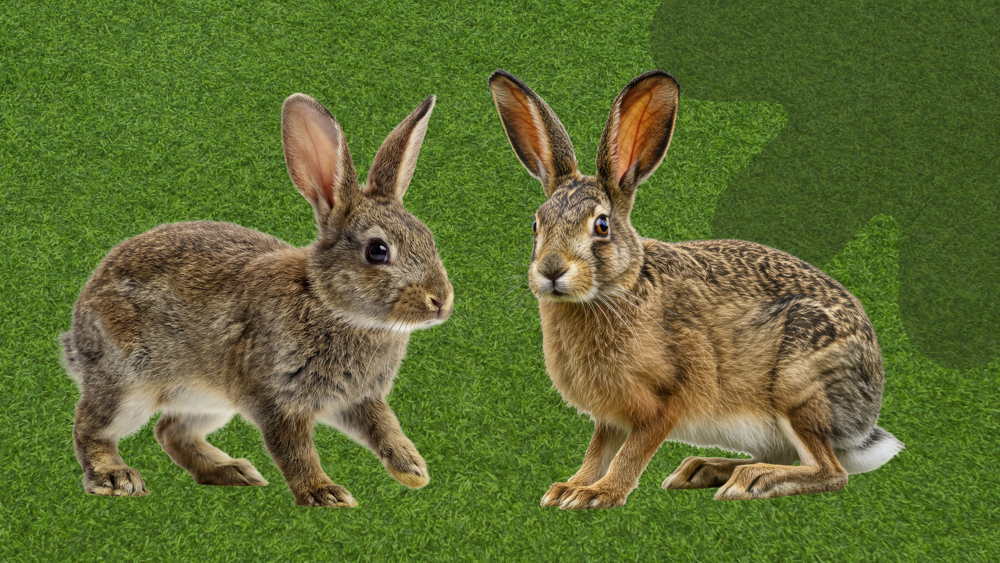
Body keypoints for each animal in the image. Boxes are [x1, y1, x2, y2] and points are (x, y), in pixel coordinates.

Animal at [60, 92, 453, 507]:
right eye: (377, 251)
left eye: (428, 236)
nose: (441, 301)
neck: (330, 304)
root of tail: (78, 329)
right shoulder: (276, 399)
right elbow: (294, 450)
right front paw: (324, 493)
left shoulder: (360, 399)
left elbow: (385, 427)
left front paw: (412, 469)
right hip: (128, 383)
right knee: (91, 427)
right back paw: (116, 477)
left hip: (209, 401)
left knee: (169, 430)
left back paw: (232, 471)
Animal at [488, 69, 903, 509]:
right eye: (537, 224)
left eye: (601, 226)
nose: (551, 270)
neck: (613, 292)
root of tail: (865, 418)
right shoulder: (610, 416)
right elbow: (597, 450)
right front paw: (569, 488)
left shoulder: (666, 401)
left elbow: (631, 453)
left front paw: (599, 494)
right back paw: (705, 468)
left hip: (799, 388)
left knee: (830, 471)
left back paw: (752, 480)